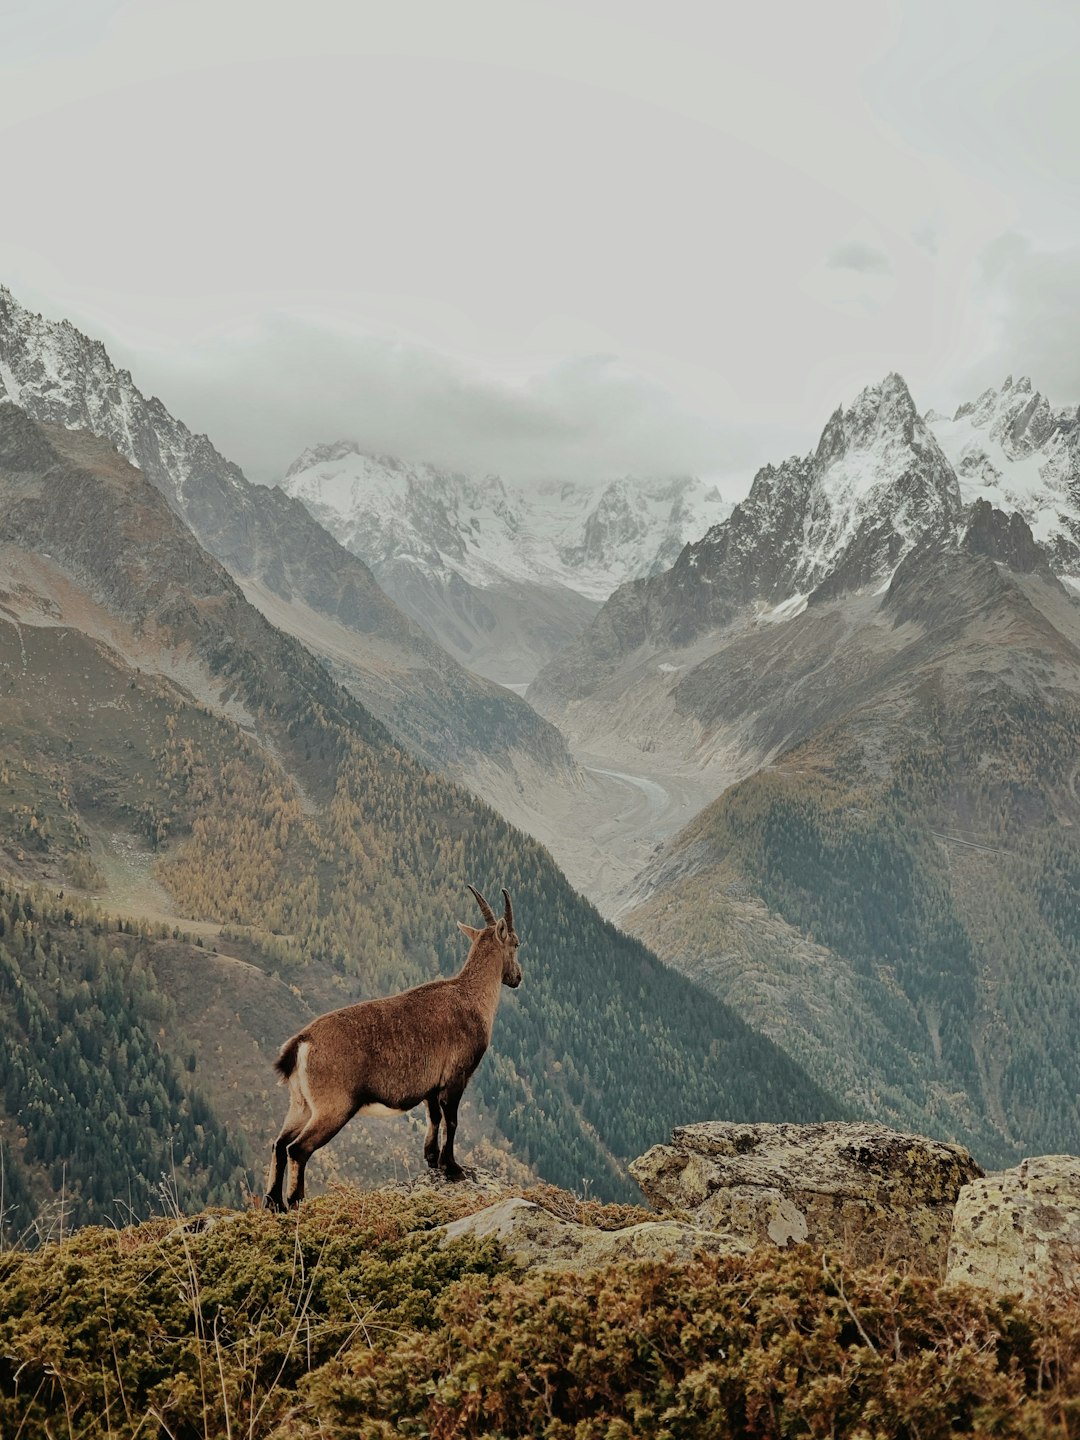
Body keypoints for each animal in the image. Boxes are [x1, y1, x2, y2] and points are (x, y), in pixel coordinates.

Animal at [264, 881, 521, 1209]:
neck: (472, 995)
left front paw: (432, 1159)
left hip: (300, 1104)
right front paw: (452, 1167)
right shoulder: (456, 1077)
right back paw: (295, 1202)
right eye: (516, 943)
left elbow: (434, 1117)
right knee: (297, 1149)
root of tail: (301, 1043)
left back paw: (273, 1203)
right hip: (333, 1108)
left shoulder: (431, 1084)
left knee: (279, 1143)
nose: (517, 978)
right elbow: (451, 1120)